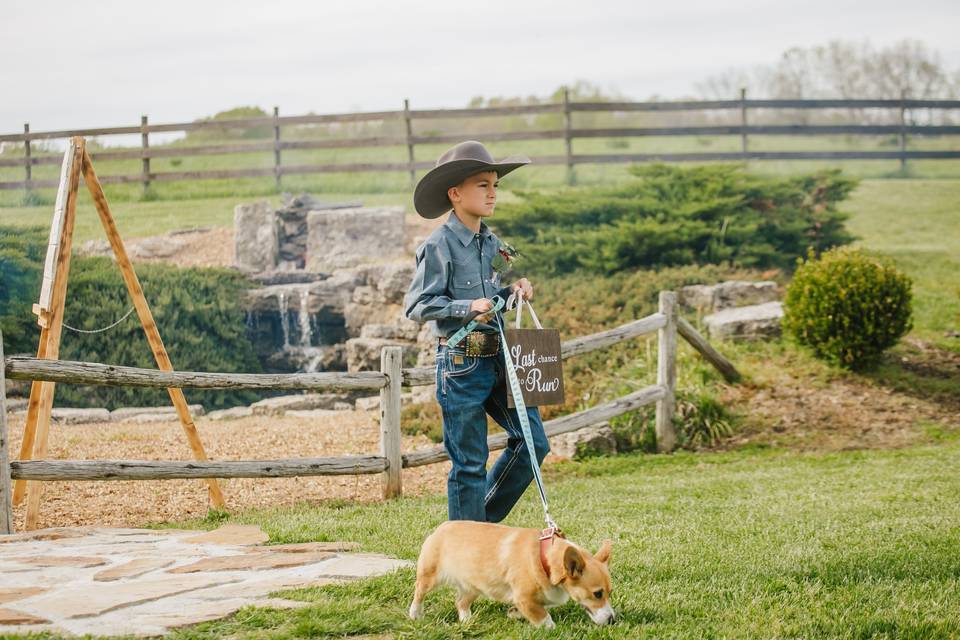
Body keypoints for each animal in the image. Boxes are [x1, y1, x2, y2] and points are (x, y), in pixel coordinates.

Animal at [406, 524, 616, 628]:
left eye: (610, 593)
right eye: (597, 594)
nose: (613, 620)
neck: (545, 560)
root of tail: (441, 526)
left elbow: (536, 608)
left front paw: (514, 613)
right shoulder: (524, 597)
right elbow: (544, 617)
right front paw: (552, 629)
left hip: (475, 586)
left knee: (461, 602)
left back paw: (467, 620)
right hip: (430, 576)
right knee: (419, 592)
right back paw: (415, 614)